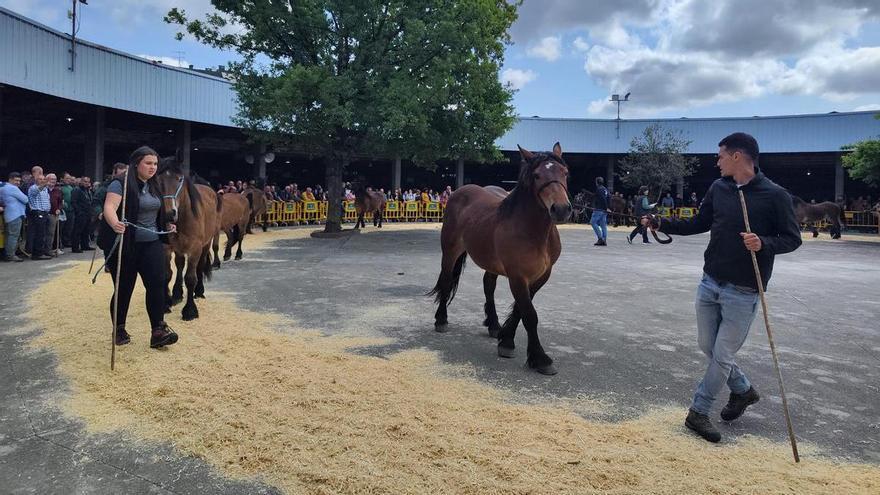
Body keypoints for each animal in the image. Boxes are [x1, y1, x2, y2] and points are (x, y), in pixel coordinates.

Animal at [156, 158, 221, 321]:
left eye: (179, 179)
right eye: (158, 181)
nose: (169, 214)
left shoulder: (195, 249)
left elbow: (191, 278)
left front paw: (190, 311)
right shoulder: (167, 248)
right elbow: (167, 274)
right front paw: (166, 304)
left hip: (205, 245)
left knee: (200, 266)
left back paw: (199, 291)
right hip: (179, 248)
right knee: (179, 265)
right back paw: (177, 294)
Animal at [428, 142, 571, 375]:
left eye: (565, 173)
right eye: (537, 175)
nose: (560, 209)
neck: (534, 232)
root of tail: (461, 191)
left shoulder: (541, 276)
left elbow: (520, 310)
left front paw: (506, 339)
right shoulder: (517, 276)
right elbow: (529, 314)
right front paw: (540, 358)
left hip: (491, 263)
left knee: (488, 286)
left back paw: (494, 325)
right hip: (450, 252)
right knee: (447, 281)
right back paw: (441, 319)